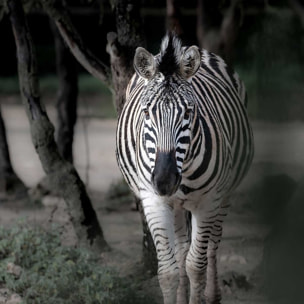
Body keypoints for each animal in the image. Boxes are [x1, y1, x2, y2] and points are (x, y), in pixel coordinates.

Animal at [115, 32, 253, 304]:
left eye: (188, 113)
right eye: (146, 113)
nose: (164, 180)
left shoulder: (208, 202)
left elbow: (195, 265)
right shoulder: (153, 200)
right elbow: (168, 271)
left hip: (225, 194)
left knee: (213, 246)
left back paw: (213, 294)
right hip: (176, 205)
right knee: (180, 251)